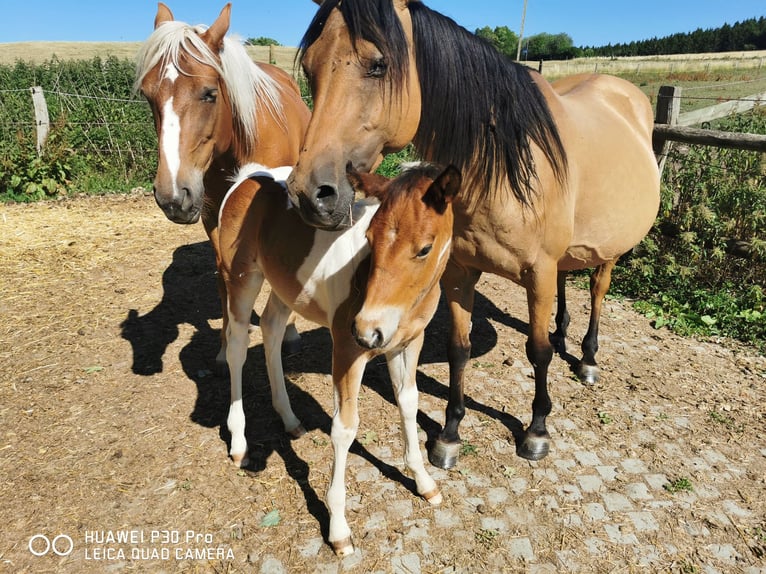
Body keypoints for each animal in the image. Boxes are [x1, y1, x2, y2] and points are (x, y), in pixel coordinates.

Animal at [134, 2, 310, 366]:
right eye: (148, 96)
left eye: (209, 93)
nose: (173, 196)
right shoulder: (213, 214)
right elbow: (223, 276)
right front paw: (224, 347)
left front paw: (287, 333)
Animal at [220, 163, 462, 560]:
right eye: (370, 239)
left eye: (425, 248)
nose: (367, 331)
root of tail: (251, 175)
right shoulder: (348, 351)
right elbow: (344, 429)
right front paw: (338, 530)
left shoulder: (408, 343)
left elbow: (409, 402)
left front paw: (424, 481)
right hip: (241, 278)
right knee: (237, 346)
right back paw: (239, 442)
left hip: (286, 286)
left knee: (271, 329)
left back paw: (290, 419)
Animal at [288, 2, 660, 470]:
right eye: (310, 67)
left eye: (378, 64)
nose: (309, 194)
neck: (504, 165)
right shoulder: (459, 272)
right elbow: (458, 349)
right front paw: (449, 435)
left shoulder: (537, 273)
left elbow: (537, 352)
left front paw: (537, 430)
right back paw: (563, 332)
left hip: (609, 251)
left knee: (596, 289)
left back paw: (588, 357)